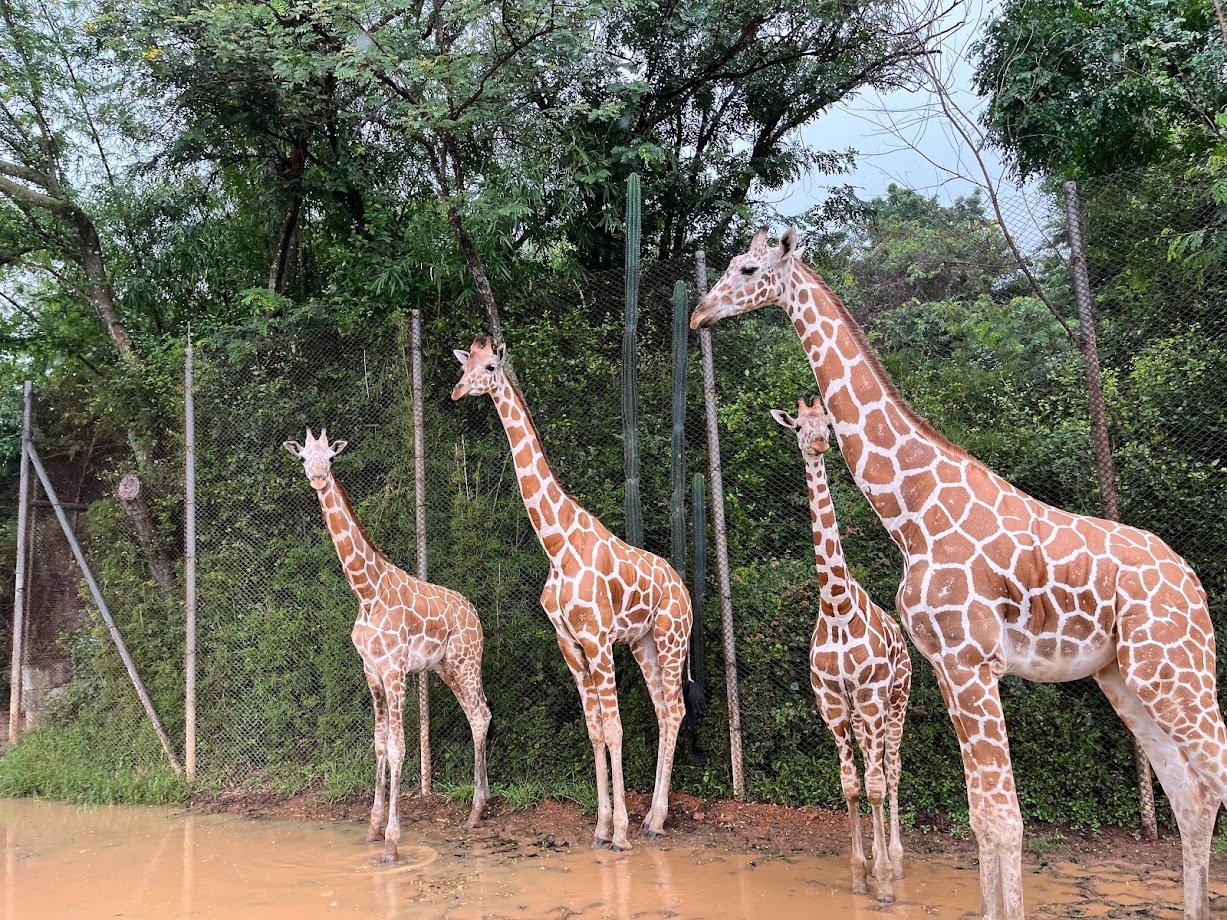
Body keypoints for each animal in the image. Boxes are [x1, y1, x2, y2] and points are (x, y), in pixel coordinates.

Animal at [282, 431, 488, 863]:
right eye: (304, 457)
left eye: (330, 457)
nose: (318, 478)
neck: (366, 592)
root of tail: (474, 612)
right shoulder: (372, 671)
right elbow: (378, 744)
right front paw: (373, 828)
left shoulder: (395, 670)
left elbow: (398, 748)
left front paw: (392, 842)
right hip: (446, 667)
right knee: (480, 713)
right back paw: (479, 810)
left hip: (466, 659)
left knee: (479, 716)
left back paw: (475, 812)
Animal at [453, 336, 696, 848]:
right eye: (465, 366)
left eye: (490, 366)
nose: (457, 391)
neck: (557, 545)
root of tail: (684, 590)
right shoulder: (569, 642)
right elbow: (595, 729)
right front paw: (602, 827)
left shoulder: (597, 639)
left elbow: (615, 729)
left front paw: (619, 831)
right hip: (644, 643)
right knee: (665, 711)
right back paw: (653, 818)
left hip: (671, 638)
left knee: (676, 709)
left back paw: (653, 821)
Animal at [770, 394, 907, 902]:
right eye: (797, 426)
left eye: (827, 422)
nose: (819, 443)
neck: (837, 608)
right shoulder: (832, 704)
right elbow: (850, 787)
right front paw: (858, 873)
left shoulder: (868, 699)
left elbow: (875, 786)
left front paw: (883, 880)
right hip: (864, 714)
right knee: (873, 771)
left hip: (895, 702)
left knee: (891, 769)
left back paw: (898, 862)